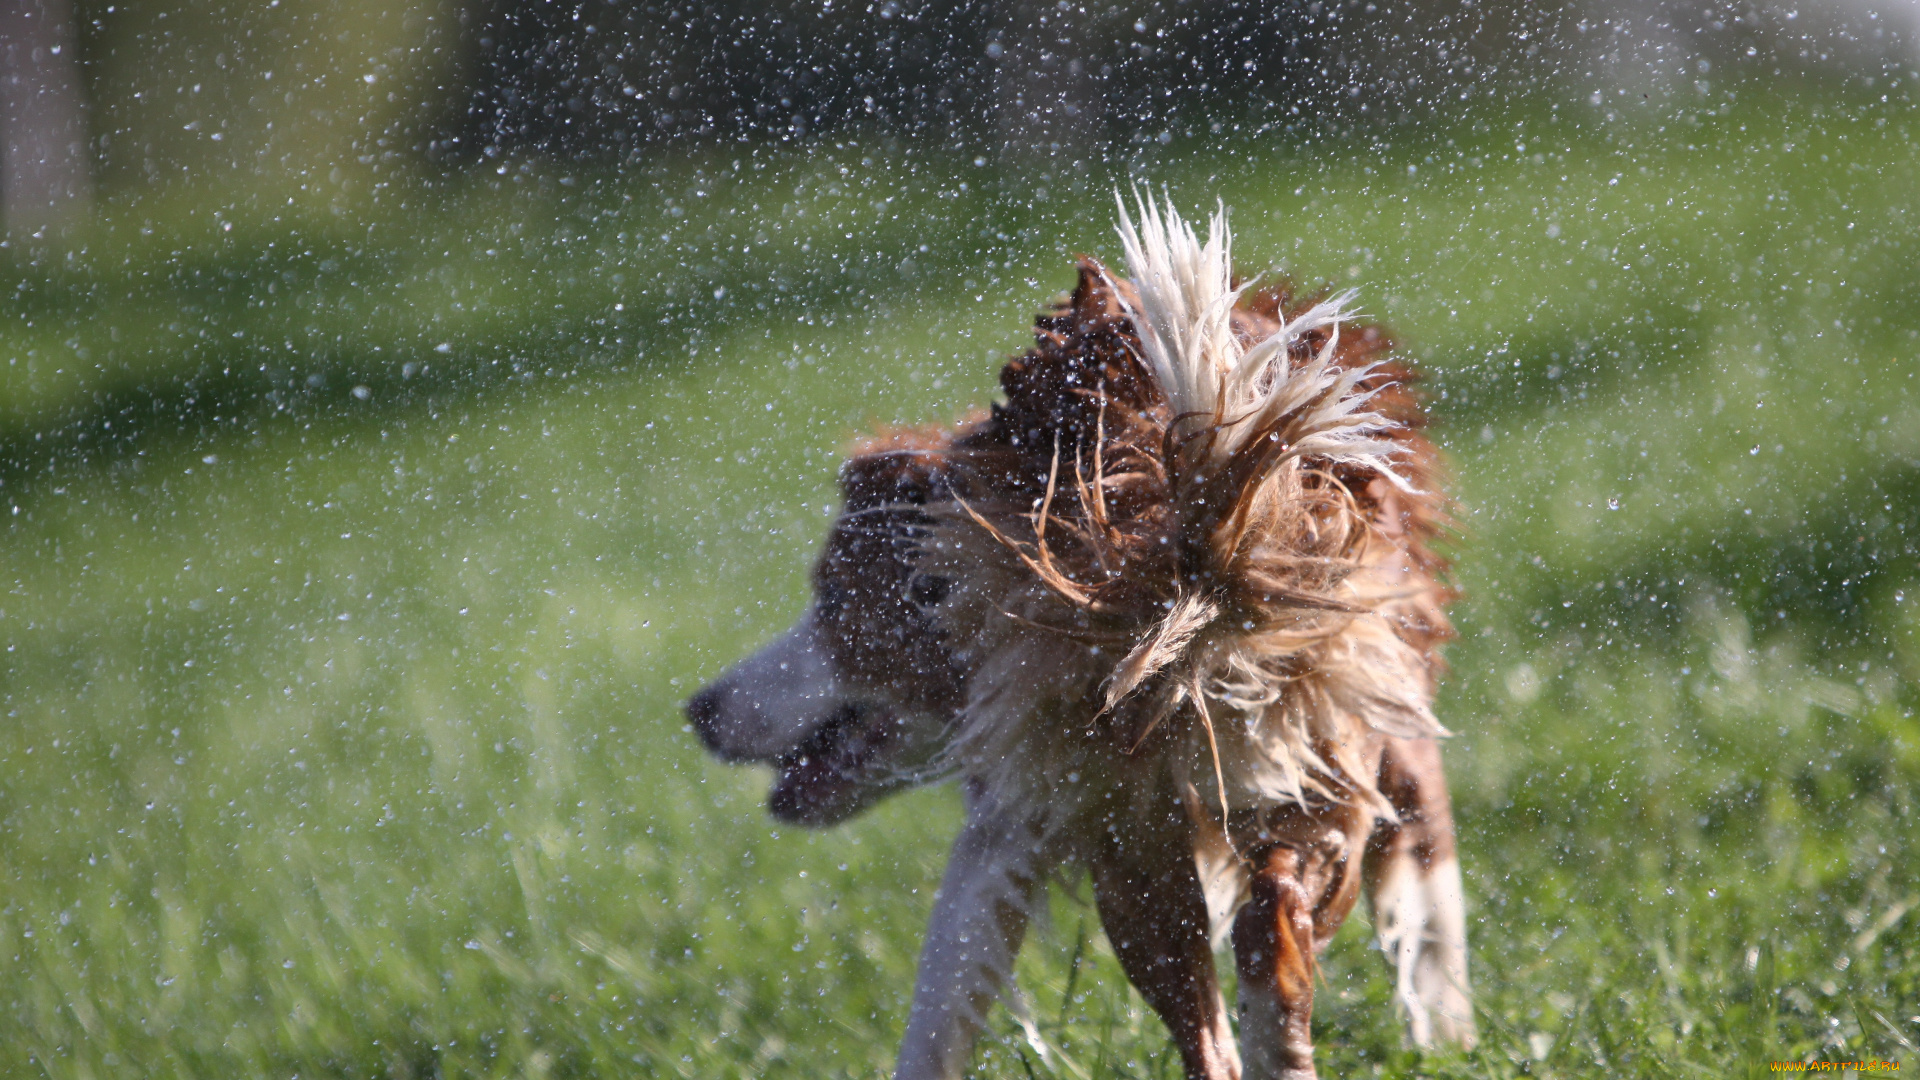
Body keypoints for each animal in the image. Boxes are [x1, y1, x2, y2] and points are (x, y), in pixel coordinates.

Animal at [695, 195, 1482, 1076]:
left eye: (829, 601)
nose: (700, 709)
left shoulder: (1021, 806)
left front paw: (1446, 1035)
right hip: (1186, 816)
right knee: (1258, 949)